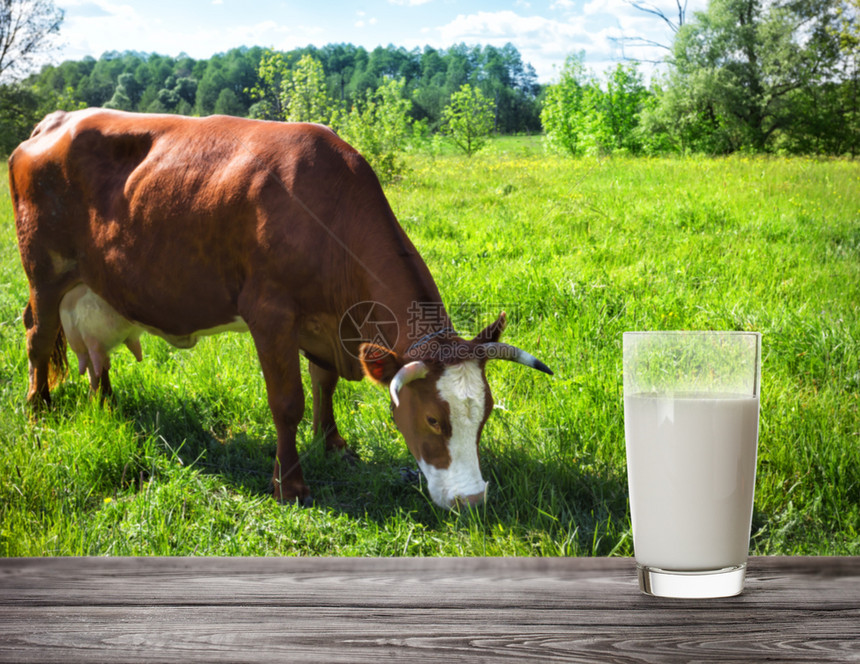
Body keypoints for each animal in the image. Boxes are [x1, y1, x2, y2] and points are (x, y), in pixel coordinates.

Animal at [8, 111, 552, 510]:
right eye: (436, 421)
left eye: (483, 416)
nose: (473, 501)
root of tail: (54, 121)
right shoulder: (269, 314)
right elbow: (287, 400)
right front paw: (290, 485)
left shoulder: (325, 324)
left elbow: (324, 383)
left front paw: (333, 444)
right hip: (43, 271)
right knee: (37, 334)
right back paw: (38, 410)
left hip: (94, 287)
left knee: (96, 351)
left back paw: (106, 404)